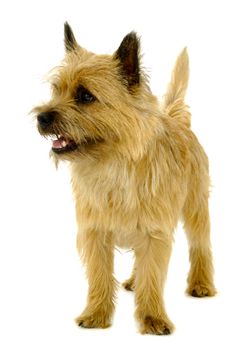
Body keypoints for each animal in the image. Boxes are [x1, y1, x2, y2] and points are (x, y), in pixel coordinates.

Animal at [33, 23, 217, 334]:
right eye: (56, 90)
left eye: (85, 96)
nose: (42, 117)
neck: (113, 165)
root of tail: (177, 121)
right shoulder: (95, 233)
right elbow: (99, 277)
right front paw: (96, 313)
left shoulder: (156, 232)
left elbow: (153, 277)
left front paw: (153, 318)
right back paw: (133, 280)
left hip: (196, 208)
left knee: (200, 245)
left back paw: (201, 284)